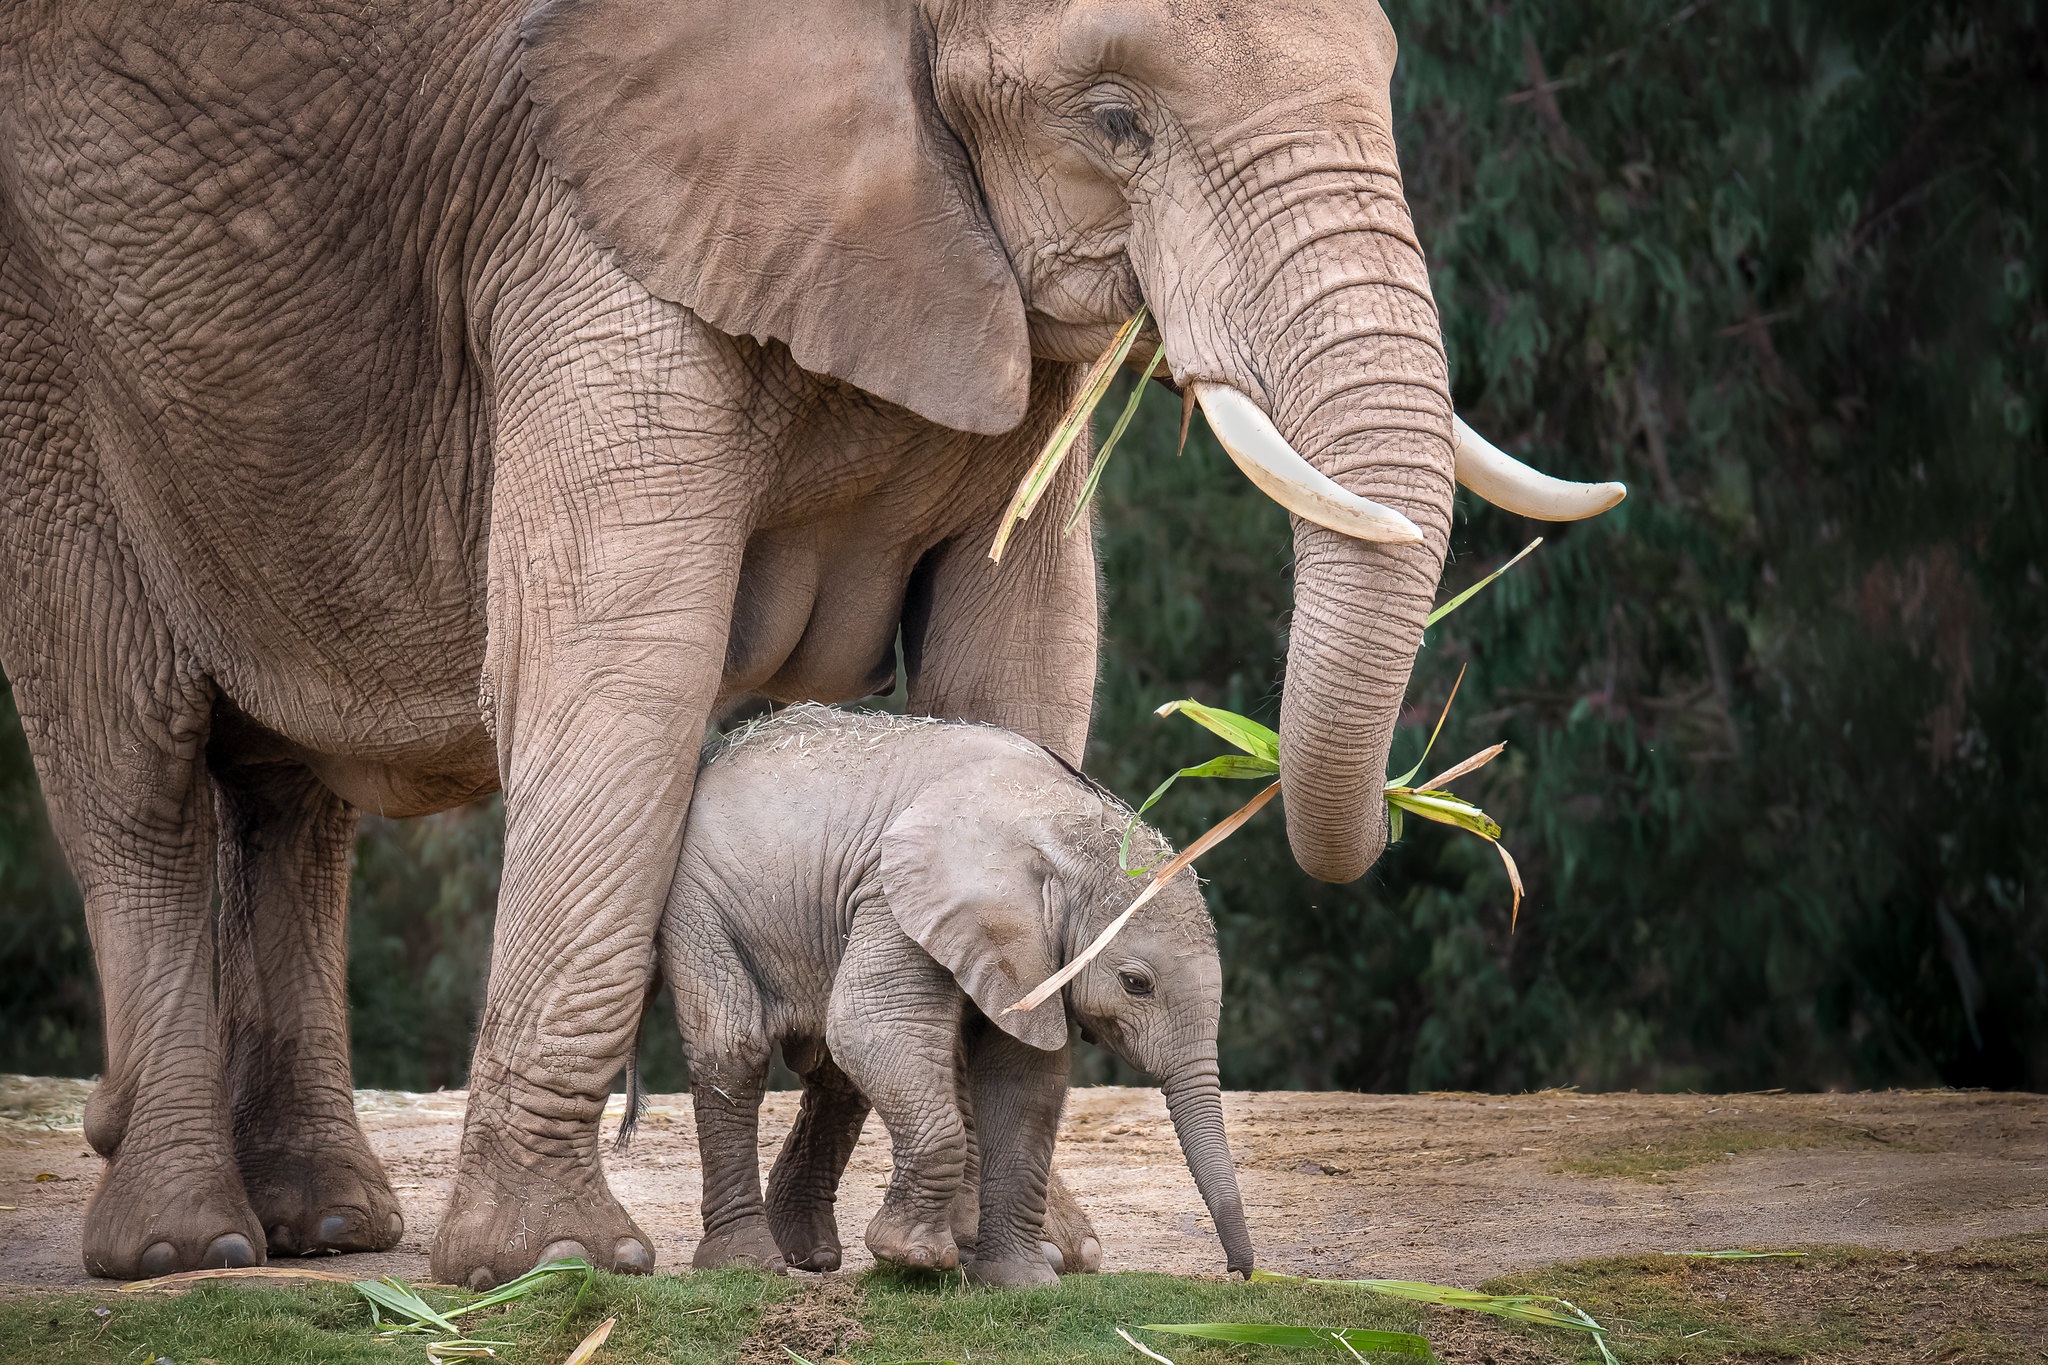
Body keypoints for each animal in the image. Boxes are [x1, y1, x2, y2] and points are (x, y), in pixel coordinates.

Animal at [651, 712, 1245, 1285]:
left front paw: (1021, 1283)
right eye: (1136, 983)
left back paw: (810, 1256)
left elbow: (1024, 1077)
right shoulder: (896, 893)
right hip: (699, 903)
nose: (1241, 1273)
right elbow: (871, 1027)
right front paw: (914, 1258)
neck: (1064, 827)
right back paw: (746, 1263)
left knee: (832, 1074)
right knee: (735, 1051)